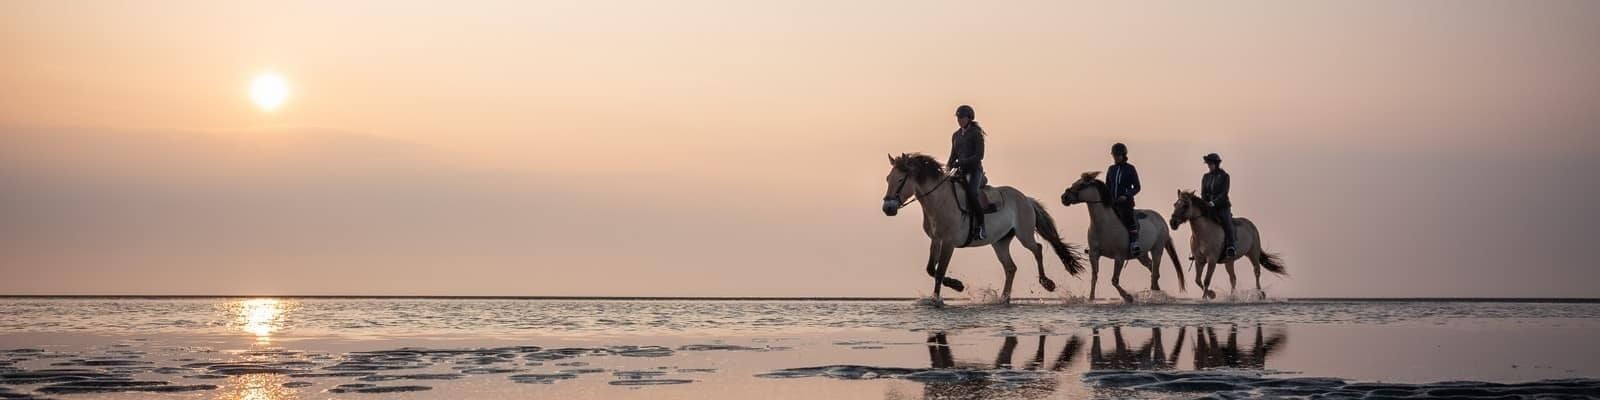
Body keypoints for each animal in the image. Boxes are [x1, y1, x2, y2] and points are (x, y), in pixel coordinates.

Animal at [881, 153, 1086, 305]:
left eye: (900, 179)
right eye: (888, 179)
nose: (888, 208)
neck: (939, 200)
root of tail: (1026, 198)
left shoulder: (948, 243)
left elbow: (939, 271)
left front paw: (937, 299)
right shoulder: (936, 240)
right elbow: (931, 269)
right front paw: (957, 285)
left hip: (1024, 235)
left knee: (1037, 249)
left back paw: (1046, 283)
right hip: (1000, 242)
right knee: (1011, 267)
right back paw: (1004, 299)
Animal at [1060, 172, 1186, 303]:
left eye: (1082, 185)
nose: (1064, 197)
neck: (1104, 224)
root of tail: (1161, 220)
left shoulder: (1119, 257)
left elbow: (1114, 280)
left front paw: (1128, 297)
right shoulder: (1094, 254)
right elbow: (1094, 277)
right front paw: (1091, 298)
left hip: (1157, 249)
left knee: (1155, 270)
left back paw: (1155, 293)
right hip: (1141, 255)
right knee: (1152, 269)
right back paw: (1155, 290)